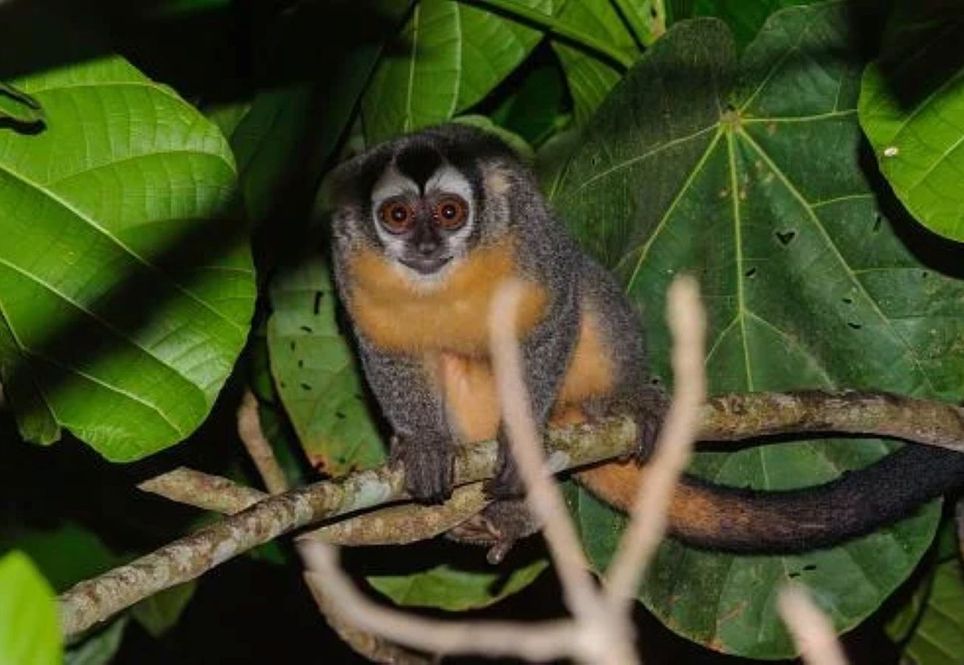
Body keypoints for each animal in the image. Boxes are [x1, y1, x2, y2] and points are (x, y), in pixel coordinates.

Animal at [328, 123, 964, 557]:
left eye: (449, 212)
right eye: (399, 216)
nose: (427, 244)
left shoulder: (529, 233)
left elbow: (554, 309)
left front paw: (523, 437)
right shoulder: (351, 261)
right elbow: (385, 349)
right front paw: (423, 444)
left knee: (585, 285)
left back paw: (618, 405)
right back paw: (505, 510)